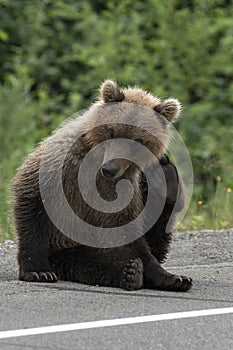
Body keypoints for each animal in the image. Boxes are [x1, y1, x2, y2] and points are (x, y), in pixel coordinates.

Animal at [12, 80, 193, 292]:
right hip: (69, 247)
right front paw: (38, 271)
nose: (109, 169)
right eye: (112, 130)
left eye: (138, 140)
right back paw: (130, 273)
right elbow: (33, 202)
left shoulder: (121, 191)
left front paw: (169, 276)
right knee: (89, 263)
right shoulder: (61, 166)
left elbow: (131, 234)